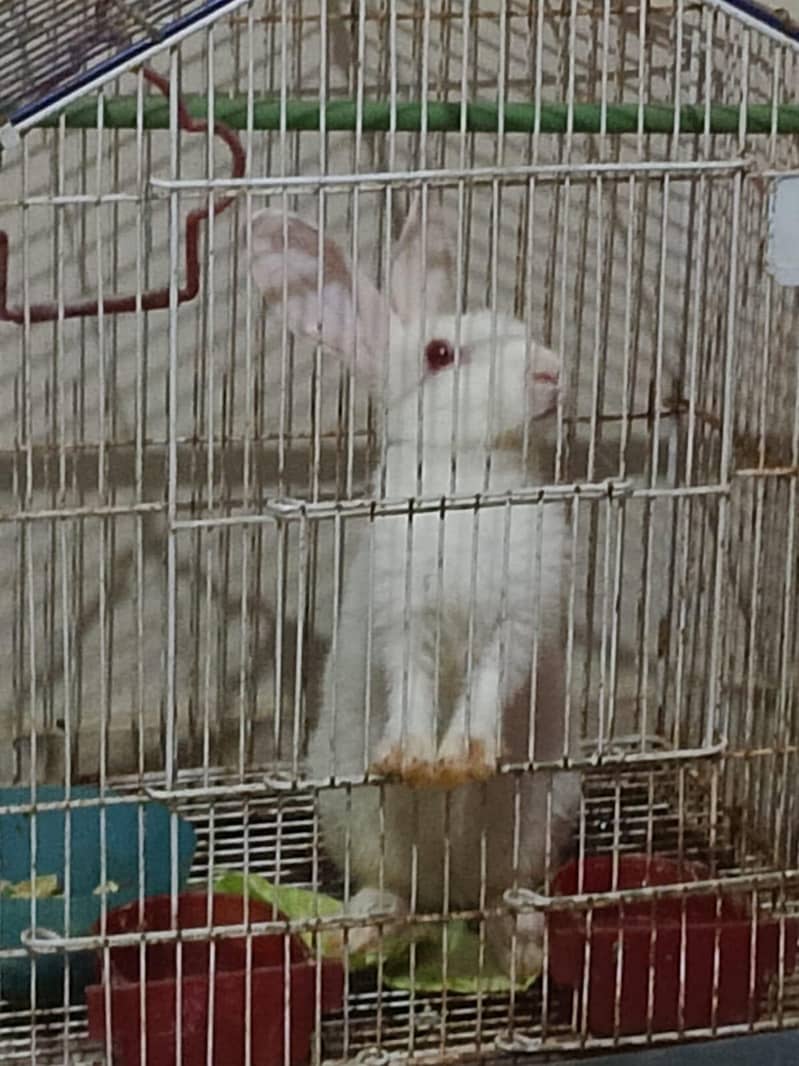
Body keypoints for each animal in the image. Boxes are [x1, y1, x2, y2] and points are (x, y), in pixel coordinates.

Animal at [248, 197, 580, 976]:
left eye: (523, 328)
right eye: (439, 355)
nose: (551, 372)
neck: (472, 476)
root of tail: (443, 899)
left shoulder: (519, 618)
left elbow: (486, 686)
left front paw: (461, 758)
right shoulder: (404, 614)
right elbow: (414, 684)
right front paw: (410, 759)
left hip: (543, 816)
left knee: (495, 894)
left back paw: (520, 942)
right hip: (351, 821)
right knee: (390, 892)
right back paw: (358, 933)